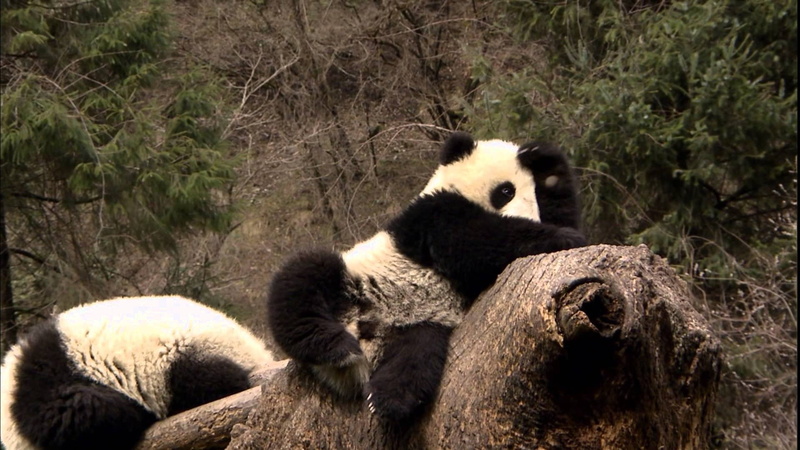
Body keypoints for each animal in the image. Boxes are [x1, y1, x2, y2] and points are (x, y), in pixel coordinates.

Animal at [267, 131, 587, 422]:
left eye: (533, 198)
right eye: (506, 191)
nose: (530, 218)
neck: (453, 188)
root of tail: (364, 334)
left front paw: (547, 166)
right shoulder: (431, 215)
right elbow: (472, 240)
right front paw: (562, 235)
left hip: (421, 324)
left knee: (416, 356)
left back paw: (389, 399)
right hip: (351, 278)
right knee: (301, 281)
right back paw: (336, 347)